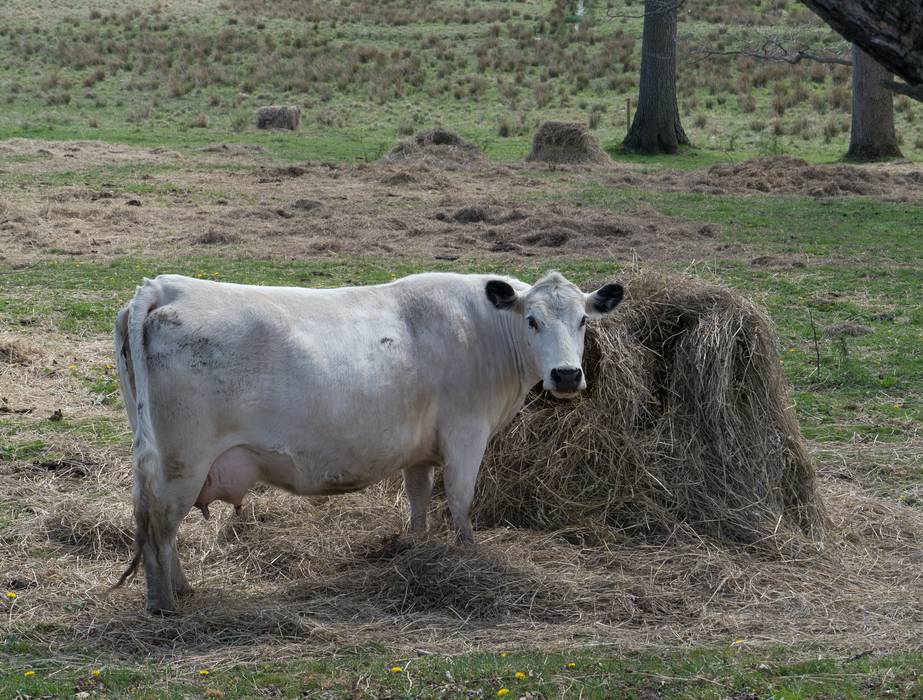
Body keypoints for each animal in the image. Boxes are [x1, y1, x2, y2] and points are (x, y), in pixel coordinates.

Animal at [113, 270, 620, 608]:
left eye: (582, 320)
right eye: (531, 320)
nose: (566, 375)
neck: (483, 331)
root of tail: (164, 286)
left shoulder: (421, 448)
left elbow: (419, 497)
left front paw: (416, 547)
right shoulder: (466, 432)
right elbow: (460, 499)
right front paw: (468, 556)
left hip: (161, 458)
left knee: (157, 522)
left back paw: (181, 589)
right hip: (182, 460)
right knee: (160, 525)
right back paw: (164, 604)